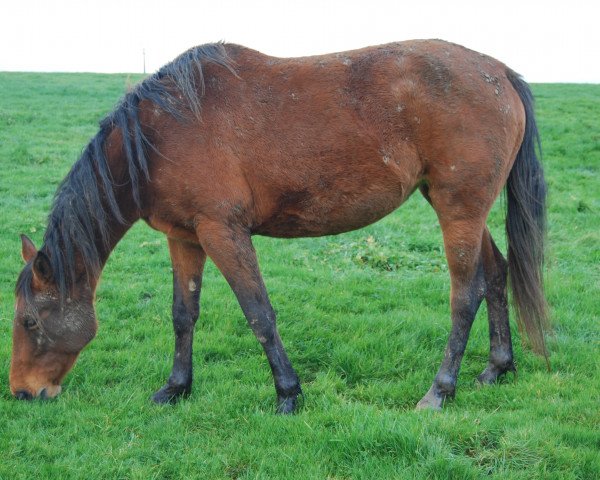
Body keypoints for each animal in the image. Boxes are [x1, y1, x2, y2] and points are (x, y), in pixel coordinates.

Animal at [9, 40, 548, 412]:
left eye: (30, 320)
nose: (21, 392)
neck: (161, 132)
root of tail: (499, 72)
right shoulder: (184, 237)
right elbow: (183, 314)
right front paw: (177, 387)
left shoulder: (223, 232)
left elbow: (258, 313)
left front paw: (288, 393)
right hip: (463, 209)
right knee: (496, 273)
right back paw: (497, 368)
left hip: (458, 211)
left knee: (465, 295)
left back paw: (440, 391)